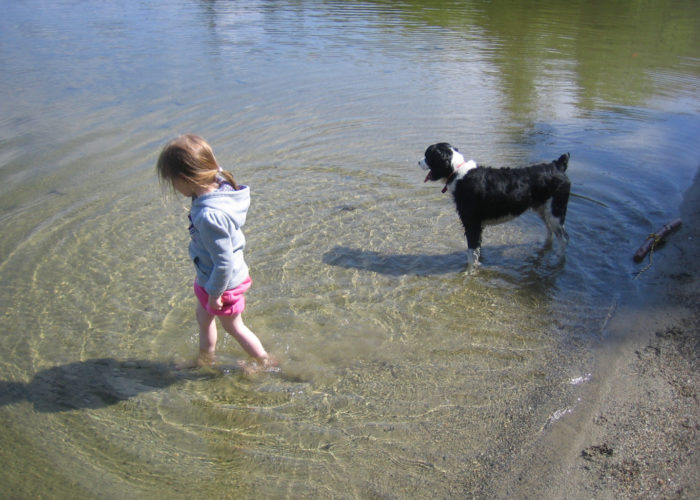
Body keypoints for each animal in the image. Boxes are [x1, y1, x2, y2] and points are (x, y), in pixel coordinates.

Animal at [418, 142, 572, 270]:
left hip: (555, 211)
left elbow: (471, 253)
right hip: (543, 209)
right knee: (550, 231)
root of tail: (557, 165)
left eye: (427, 155)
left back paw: (558, 259)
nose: (418, 161)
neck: (457, 172)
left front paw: (469, 272)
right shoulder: (478, 226)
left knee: (563, 239)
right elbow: (477, 250)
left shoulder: (472, 224)